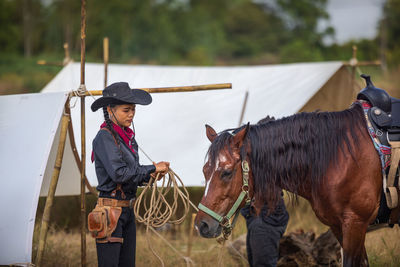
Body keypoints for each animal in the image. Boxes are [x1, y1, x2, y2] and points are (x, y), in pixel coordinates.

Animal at [195, 101, 382, 266]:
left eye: (226, 172)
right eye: (204, 171)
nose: (201, 225)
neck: (337, 158)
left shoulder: (355, 224)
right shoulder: (338, 225)